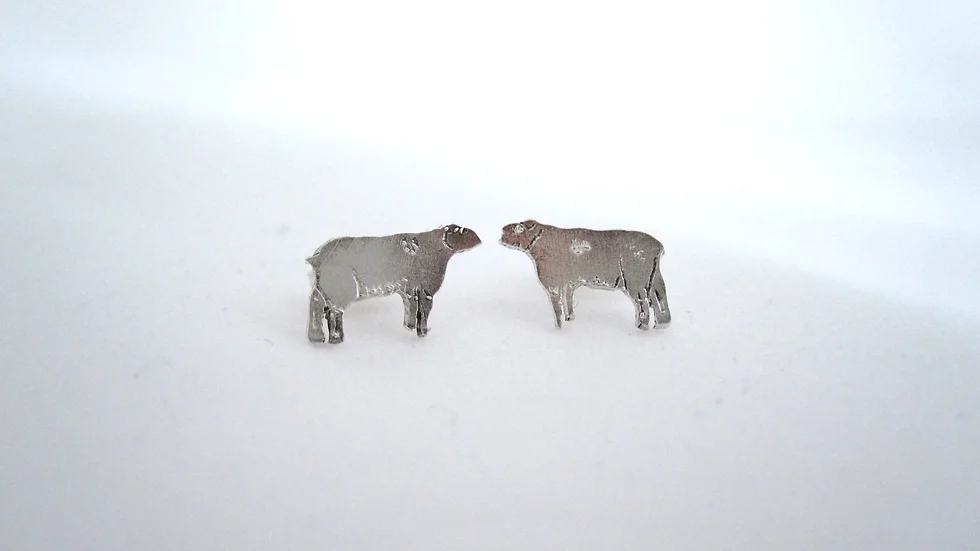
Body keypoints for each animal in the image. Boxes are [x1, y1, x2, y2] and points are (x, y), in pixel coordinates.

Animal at [306, 224, 482, 344]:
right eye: (461, 231)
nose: (479, 239)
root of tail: (317, 256)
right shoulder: (426, 291)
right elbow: (424, 312)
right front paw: (424, 331)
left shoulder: (410, 291)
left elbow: (412, 310)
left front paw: (411, 327)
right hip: (343, 287)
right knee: (331, 310)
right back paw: (335, 337)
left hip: (327, 287)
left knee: (317, 303)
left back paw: (319, 337)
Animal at [500, 219, 671, 330]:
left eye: (519, 228)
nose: (501, 231)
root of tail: (659, 246)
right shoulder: (567, 284)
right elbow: (567, 302)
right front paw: (569, 318)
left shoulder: (552, 284)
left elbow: (557, 309)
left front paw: (559, 326)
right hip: (654, 279)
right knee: (660, 300)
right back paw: (661, 324)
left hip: (635, 282)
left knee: (643, 304)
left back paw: (642, 326)